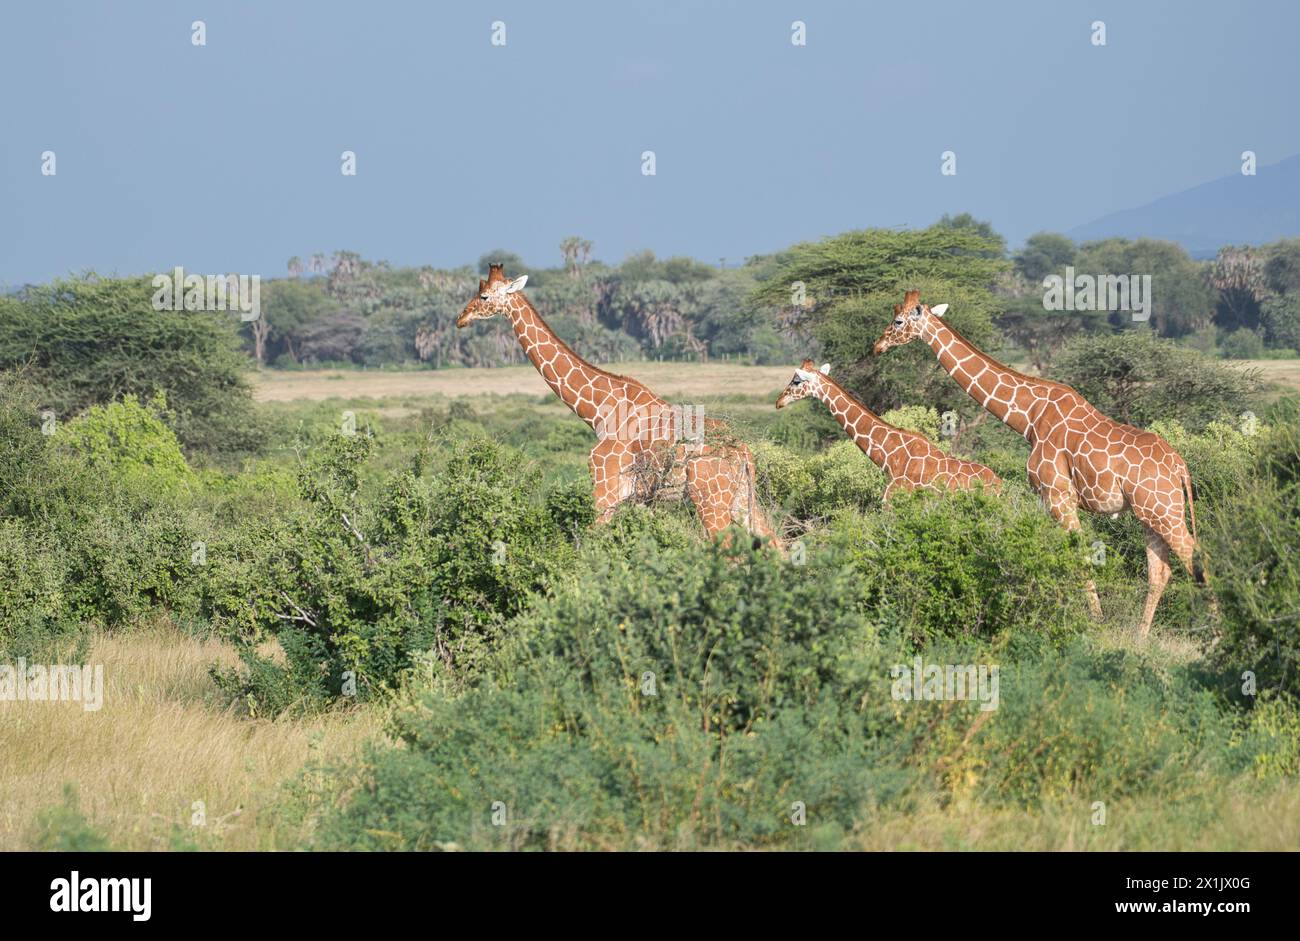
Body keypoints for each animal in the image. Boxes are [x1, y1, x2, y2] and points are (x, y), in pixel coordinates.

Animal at [457, 264, 781, 549]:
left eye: (484, 296)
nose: (461, 318)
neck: (599, 411)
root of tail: (743, 451)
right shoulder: (639, 501)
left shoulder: (605, 490)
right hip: (741, 497)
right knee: (775, 542)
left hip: (710, 498)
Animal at [872, 290, 1209, 636]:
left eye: (897, 321)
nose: (877, 346)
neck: (1029, 417)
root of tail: (1180, 467)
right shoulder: (1048, 500)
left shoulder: (1057, 494)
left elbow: (1080, 557)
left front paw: (1091, 622)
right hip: (1150, 513)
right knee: (1161, 570)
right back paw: (1140, 637)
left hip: (1162, 510)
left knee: (1196, 556)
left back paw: (1214, 635)